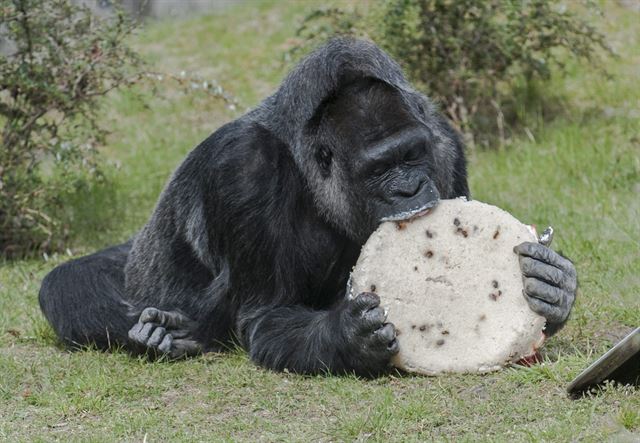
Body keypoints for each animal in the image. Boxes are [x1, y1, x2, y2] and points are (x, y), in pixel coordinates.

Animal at [40, 39, 580, 378]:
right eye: (380, 168)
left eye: (412, 155)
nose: (410, 190)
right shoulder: (243, 168)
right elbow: (266, 315)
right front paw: (350, 337)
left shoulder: (444, 142)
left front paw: (553, 285)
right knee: (69, 291)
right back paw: (162, 333)